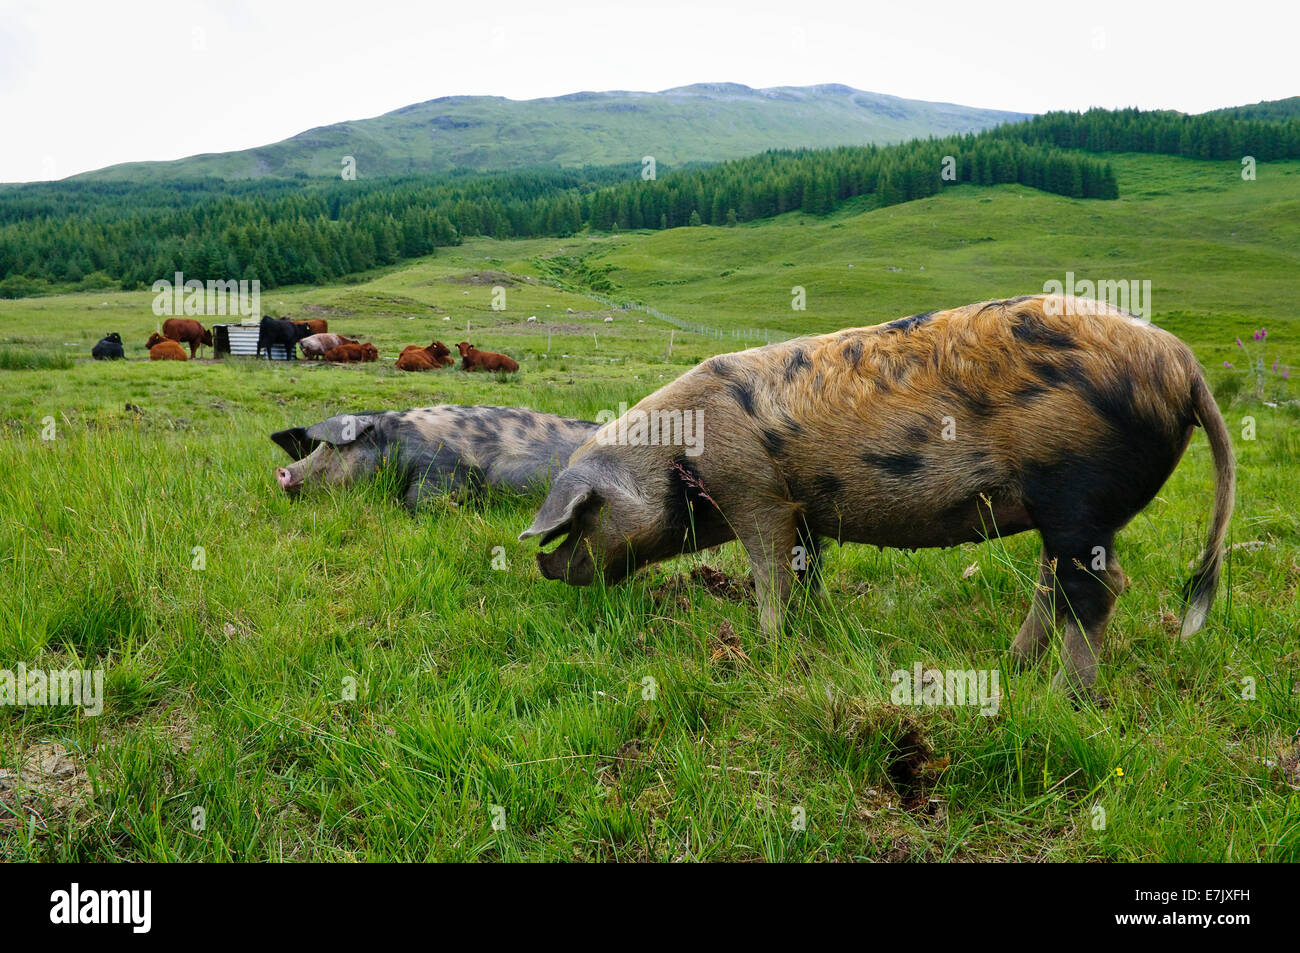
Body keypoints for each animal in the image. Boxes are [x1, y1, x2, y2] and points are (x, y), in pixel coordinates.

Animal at [274, 400, 603, 509]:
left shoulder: (445, 465)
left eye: (330, 446)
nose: (282, 472)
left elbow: (413, 499)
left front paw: (457, 509)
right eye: (317, 446)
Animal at [522, 295, 1232, 696]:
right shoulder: (804, 512)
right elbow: (804, 571)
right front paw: (807, 629)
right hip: (1062, 510)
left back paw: (1062, 696)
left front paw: (766, 645)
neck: (679, 459)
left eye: (581, 515)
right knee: (1057, 581)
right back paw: (1014, 663)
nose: (545, 565)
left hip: (1075, 490)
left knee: (1099, 587)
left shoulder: (757, 494)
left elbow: (767, 570)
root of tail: (1184, 365)